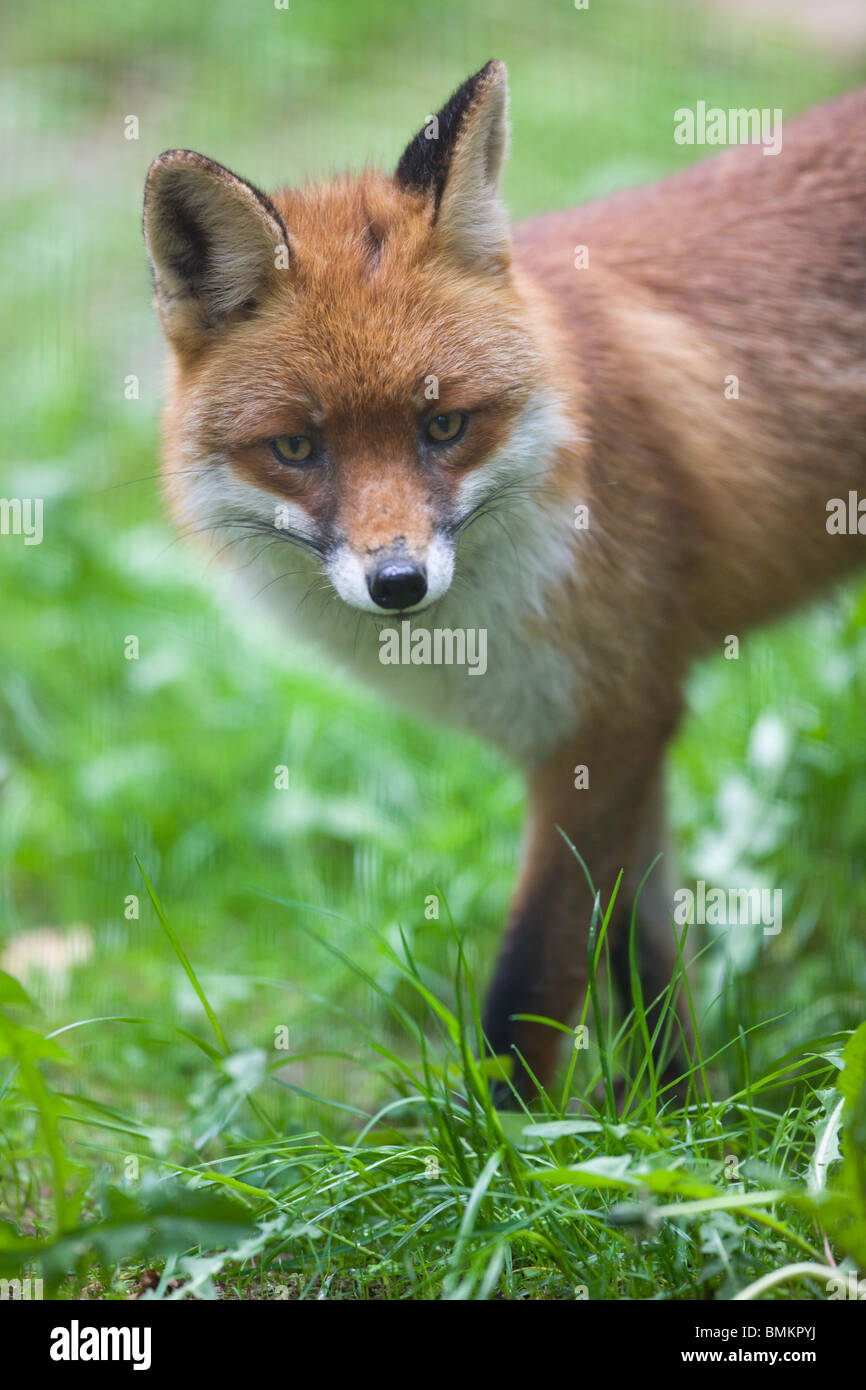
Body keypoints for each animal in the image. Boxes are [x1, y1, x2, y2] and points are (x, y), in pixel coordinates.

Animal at [143, 65, 866, 1106]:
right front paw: (678, 1108)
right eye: (297, 448)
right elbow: (641, 958)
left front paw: (508, 1134)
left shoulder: (604, 727)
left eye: (444, 426)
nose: (397, 582)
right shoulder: (624, 728)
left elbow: (533, 975)